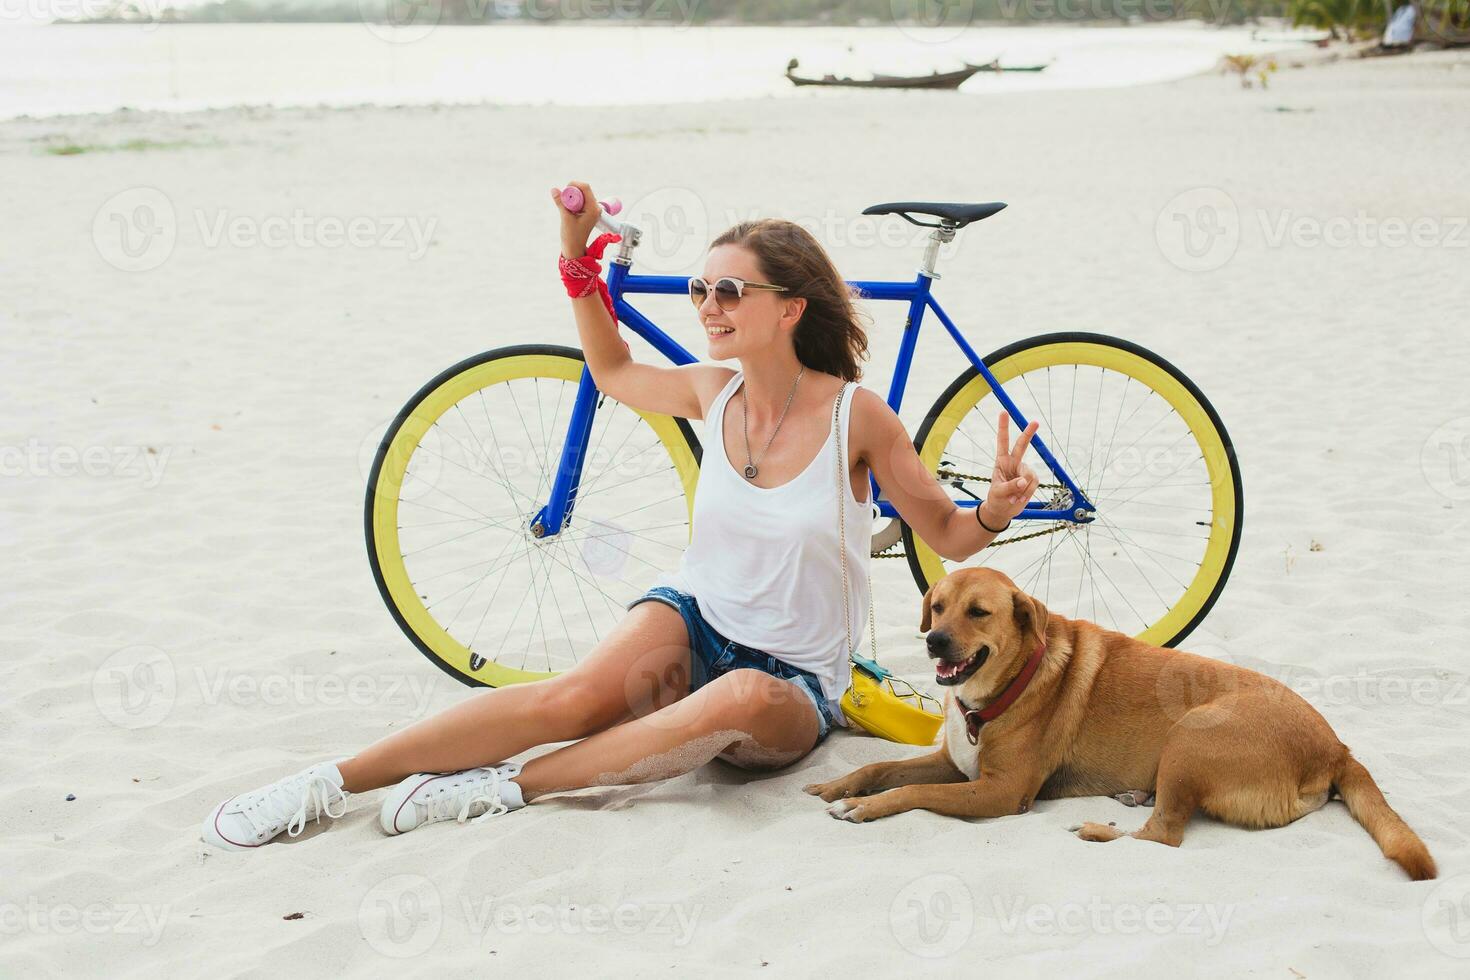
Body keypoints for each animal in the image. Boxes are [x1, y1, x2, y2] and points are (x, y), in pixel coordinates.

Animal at [805, 567, 1434, 881]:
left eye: (978, 613)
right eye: (936, 606)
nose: (934, 640)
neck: (1007, 684)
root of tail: (1336, 747)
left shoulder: (1000, 793)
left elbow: (910, 793)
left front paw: (863, 808)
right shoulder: (951, 761)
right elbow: (883, 769)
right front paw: (839, 786)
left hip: (1192, 734)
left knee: (1163, 836)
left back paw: (1098, 828)